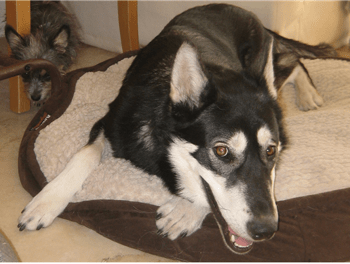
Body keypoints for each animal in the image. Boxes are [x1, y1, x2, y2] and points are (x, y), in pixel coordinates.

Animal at [17, 3, 334, 254]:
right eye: (221, 151)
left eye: (271, 151)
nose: (266, 230)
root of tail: (245, 12)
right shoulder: (109, 124)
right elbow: (85, 155)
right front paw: (46, 201)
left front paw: (186, 210)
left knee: (293, 63)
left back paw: (308, 94)